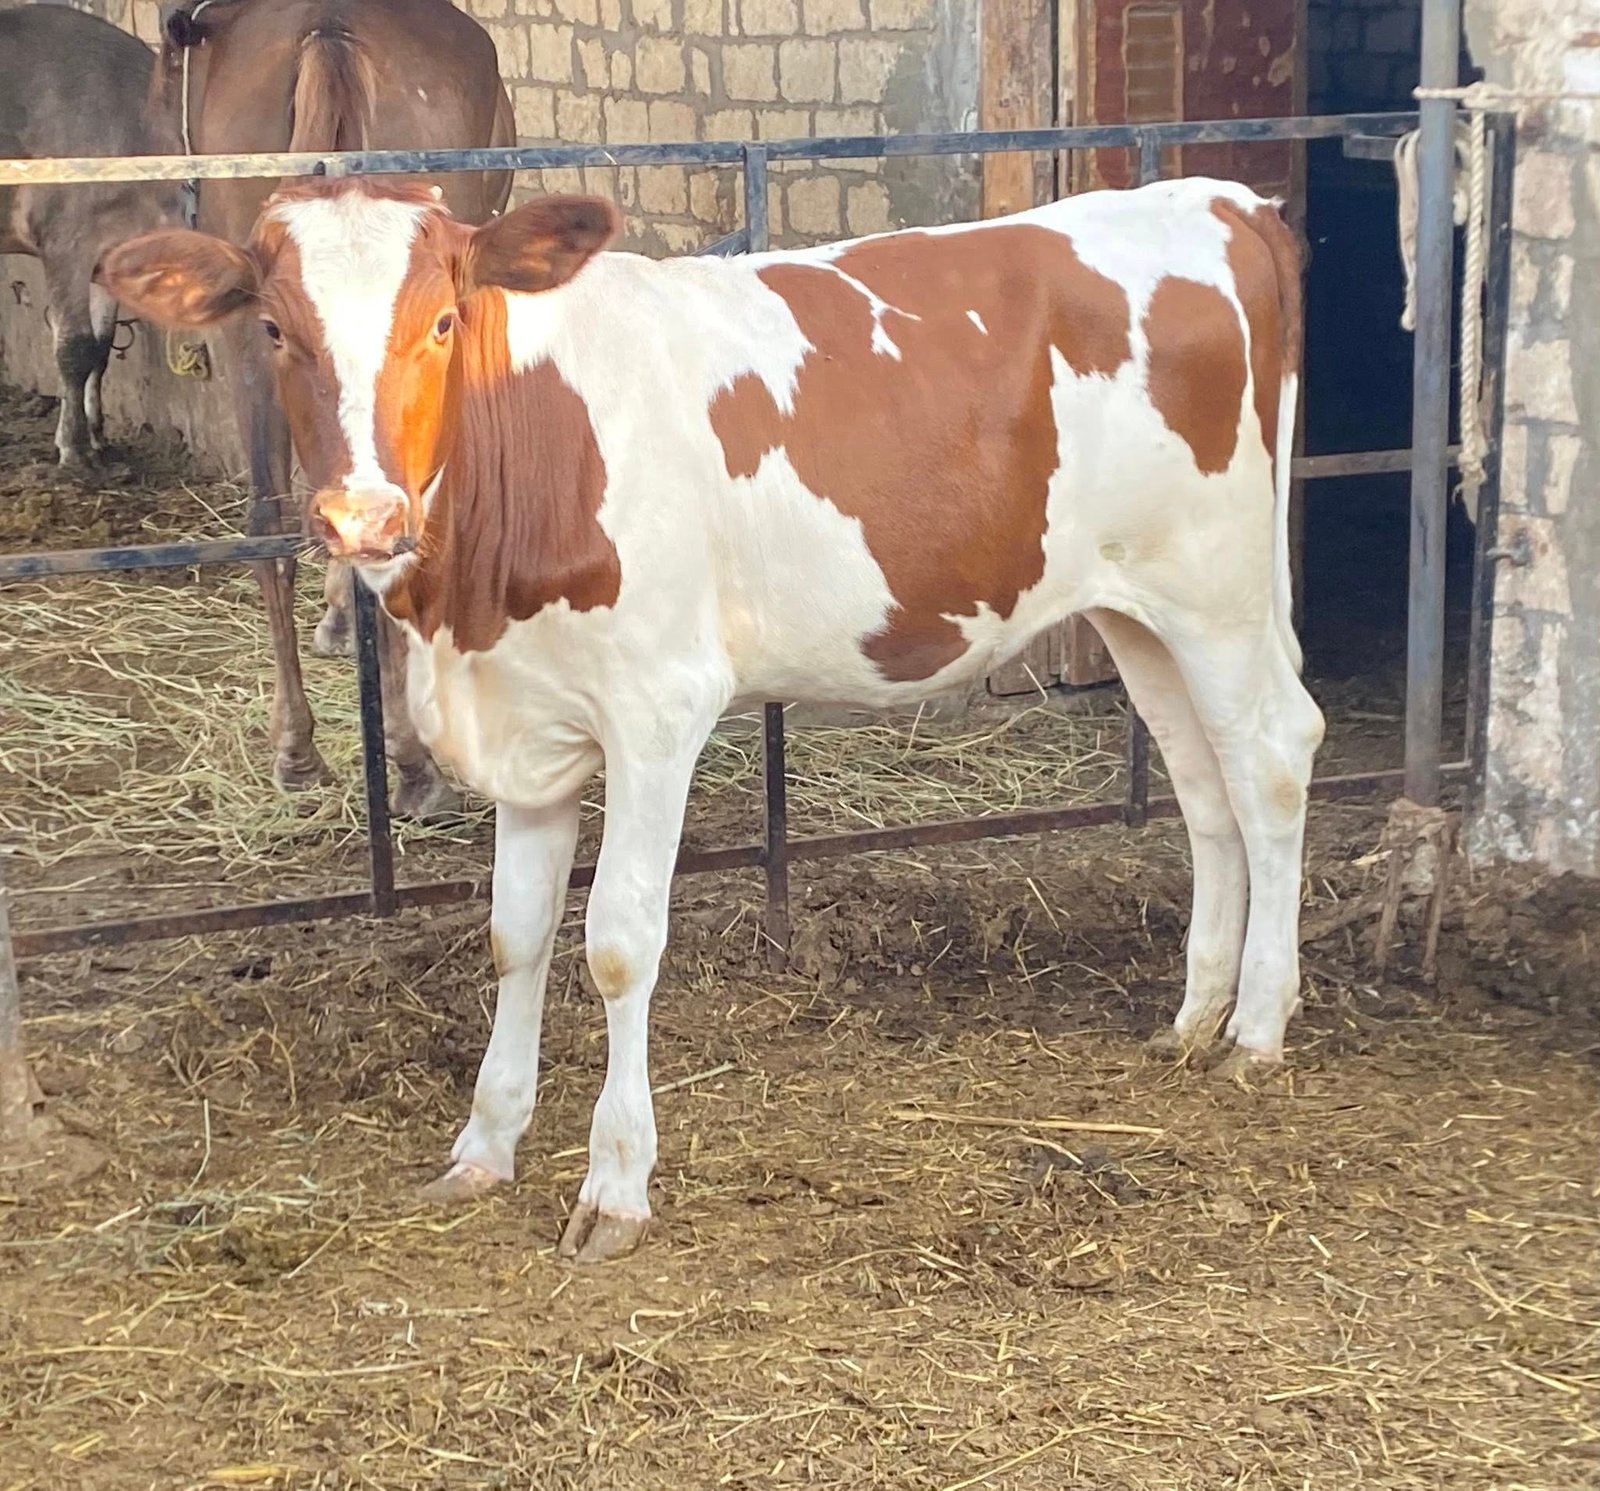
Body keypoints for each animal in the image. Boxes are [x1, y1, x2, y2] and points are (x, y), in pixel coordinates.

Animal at [0, 6, 187, 467]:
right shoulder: (66, 240)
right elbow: (74, 347)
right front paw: (75, 449)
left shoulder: (110, 250)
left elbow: (101, 348)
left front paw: (98, 434)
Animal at [104, 175, 1326, 1263]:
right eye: (274, 326)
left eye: (444, 319)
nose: (362, 515)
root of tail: (1224, 202)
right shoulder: (530, 726)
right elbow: (515, 936)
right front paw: (484, 1145)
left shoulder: (657, 708)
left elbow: (617, 944)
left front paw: (614, 1185)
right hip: (1135, 609)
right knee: (1202, 785)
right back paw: (1194, 1016)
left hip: (1217, 588)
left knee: (1271, 758)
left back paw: (1257, 1029)